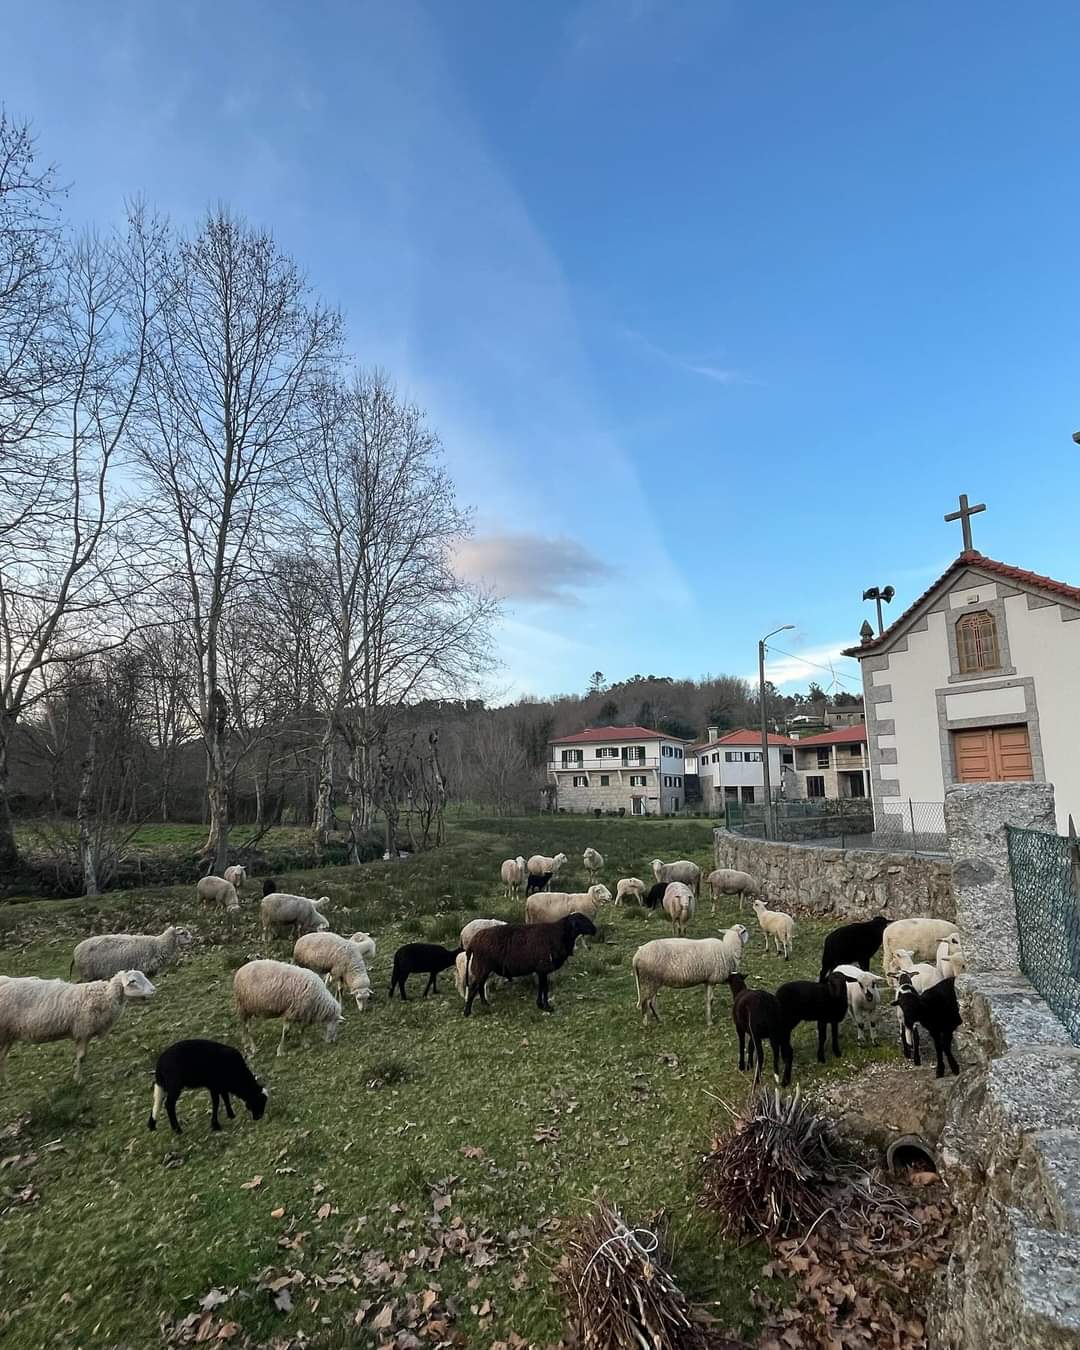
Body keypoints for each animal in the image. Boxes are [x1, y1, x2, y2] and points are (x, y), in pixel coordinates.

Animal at [0, 972, 155, 1085]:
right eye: (133, 981)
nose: (154, 990)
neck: (104, 997)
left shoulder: (84, 1033)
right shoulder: (83, 1032)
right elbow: (81, 1057)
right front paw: (78, 1079)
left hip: (8, 1035)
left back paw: (6, 1082)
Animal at [464, 912, 599, 1015]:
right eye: (582, 921)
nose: (595, 930)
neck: (559, 934)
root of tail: (473, 942)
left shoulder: (541, 970)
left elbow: (542, 988)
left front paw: (540, 1005)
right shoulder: (543, 967)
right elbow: (544, 988)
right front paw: (547, 1007)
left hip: (484, 968)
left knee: (480, 985)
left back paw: (485, 1004)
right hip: (482, 966)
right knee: (473, 987)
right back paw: (467, 1012)